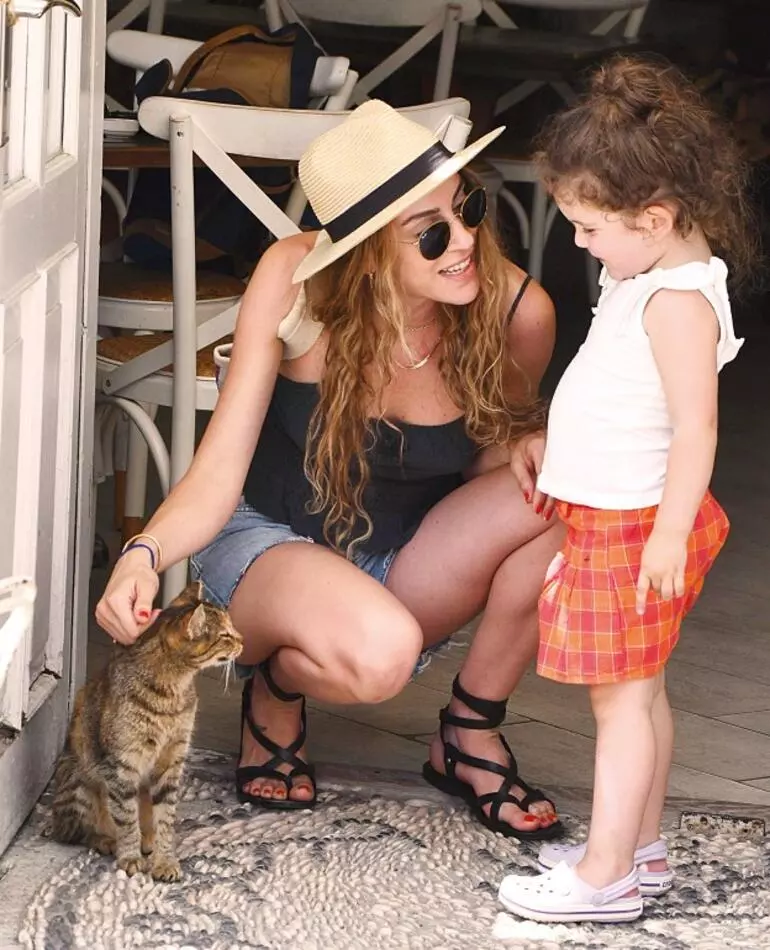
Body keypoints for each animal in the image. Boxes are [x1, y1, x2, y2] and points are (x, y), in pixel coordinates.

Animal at [50, 581, 242, 881]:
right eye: (225, 635)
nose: (242, 640)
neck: (174, 690)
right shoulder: (122, 765)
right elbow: (126, 817)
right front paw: (130, 857)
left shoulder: (172, 760)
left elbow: (165, 818)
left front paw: (164, 860)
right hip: (79, 781)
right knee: (76, 831)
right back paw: (107, 840)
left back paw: (147, 840)